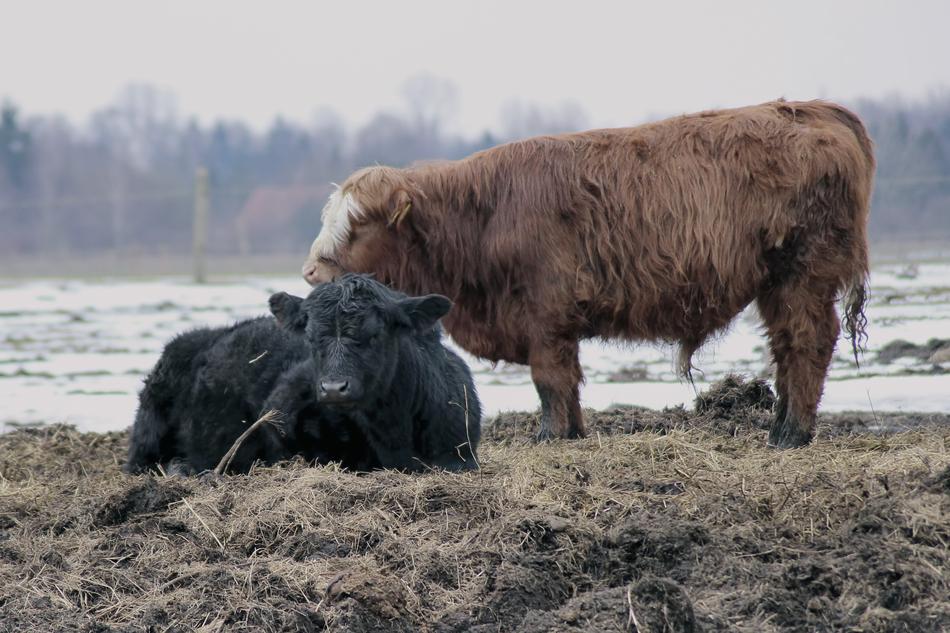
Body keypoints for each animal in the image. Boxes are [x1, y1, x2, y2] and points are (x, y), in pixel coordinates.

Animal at [125, 274, 481, 474]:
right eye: (310, 338)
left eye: (375, 334)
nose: (333, 388)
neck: (392, 433)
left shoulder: (460, 455)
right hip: (148, 430)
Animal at [301, 100, 874, 449]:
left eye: (357, 225)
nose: (309, 271)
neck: (483, 217)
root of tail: (812, 110)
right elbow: (568, 382)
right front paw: (573, 431)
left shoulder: (544, 316)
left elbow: (550, 380)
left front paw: (549, 435)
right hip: (778, 285)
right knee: (786, 348)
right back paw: (780, 425)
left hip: (803, 275)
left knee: (807, 343)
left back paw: (792, 433)